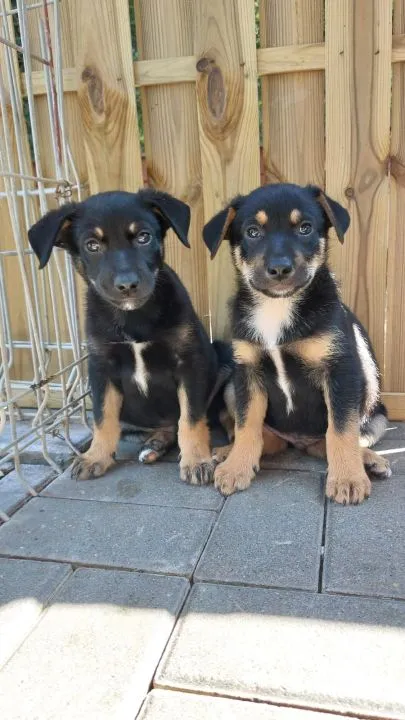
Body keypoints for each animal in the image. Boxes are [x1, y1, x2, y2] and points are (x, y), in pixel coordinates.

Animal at [28, 189, 229, 485]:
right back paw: (153, 445)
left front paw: (196, 460)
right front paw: (95, 457)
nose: (127, 285)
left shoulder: (189, 363)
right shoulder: (101, 367)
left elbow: (191, 418)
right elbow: (103, 418)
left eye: (144, 237)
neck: (133, 317)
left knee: (187, 421)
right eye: (91, 245)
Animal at [202, 183, 391, 504]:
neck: (277, 307)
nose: (280, 269)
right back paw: (227, 453)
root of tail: (298, 441)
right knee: (266, 438)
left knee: (333, 440)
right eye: (252, 232)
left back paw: (370, 461)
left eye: (305, 228)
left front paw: (348, 479)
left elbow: (341, 430)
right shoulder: (247, 372)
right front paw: (237, 468)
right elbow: (246, 425)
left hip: (375, 412)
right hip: (230, 387)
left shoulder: (340, 371)